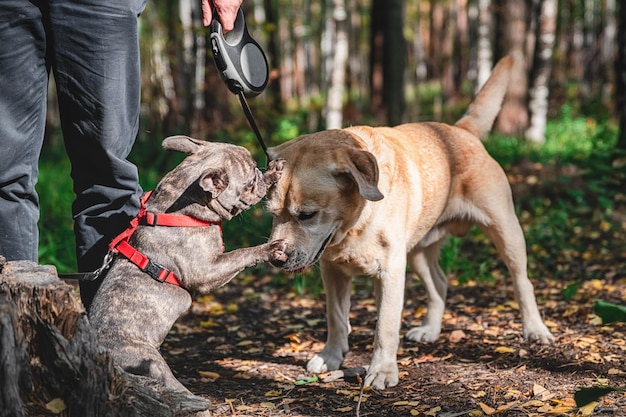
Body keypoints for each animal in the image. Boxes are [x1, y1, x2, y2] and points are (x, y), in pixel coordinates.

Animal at [264, 53, 552, 388]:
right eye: (272, 213)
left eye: (307, 214)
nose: (277, 259)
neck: (354, 225)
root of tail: (461, 130)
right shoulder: (332, 271)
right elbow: (335, 317)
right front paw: (331, 357)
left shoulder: (390, 270)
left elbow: (385, 326)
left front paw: (382, 370)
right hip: (418, 252)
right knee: (439, 284)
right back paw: (430, 329)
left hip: (506, 232)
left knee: (522, 282)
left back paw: (535, 329)